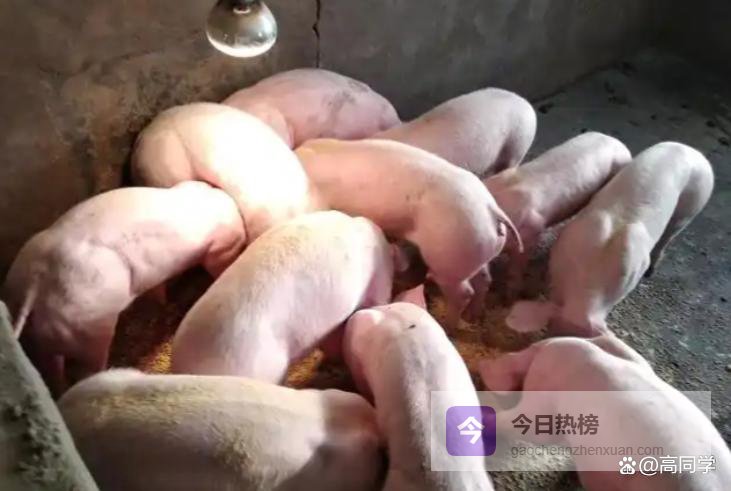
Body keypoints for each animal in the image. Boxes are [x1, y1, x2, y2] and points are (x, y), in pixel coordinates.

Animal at [1, 182, 245, 395]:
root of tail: (37, 283)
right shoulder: (220, 247)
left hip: (42, 331)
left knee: (52, 368)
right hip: (88, 331)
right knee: (88, 366)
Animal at [296, 138, 523, 329]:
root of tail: (491, 208)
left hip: (450, 256)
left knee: (464, 292)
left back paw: (447, 326)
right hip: (476, 248)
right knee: (484, 279)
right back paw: (473, 318)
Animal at [506, 142, 714, 337]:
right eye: (552, 328)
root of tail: (692, 150)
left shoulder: (632, 274)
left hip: (691, 209)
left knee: (668, 237)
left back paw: (651, 271)